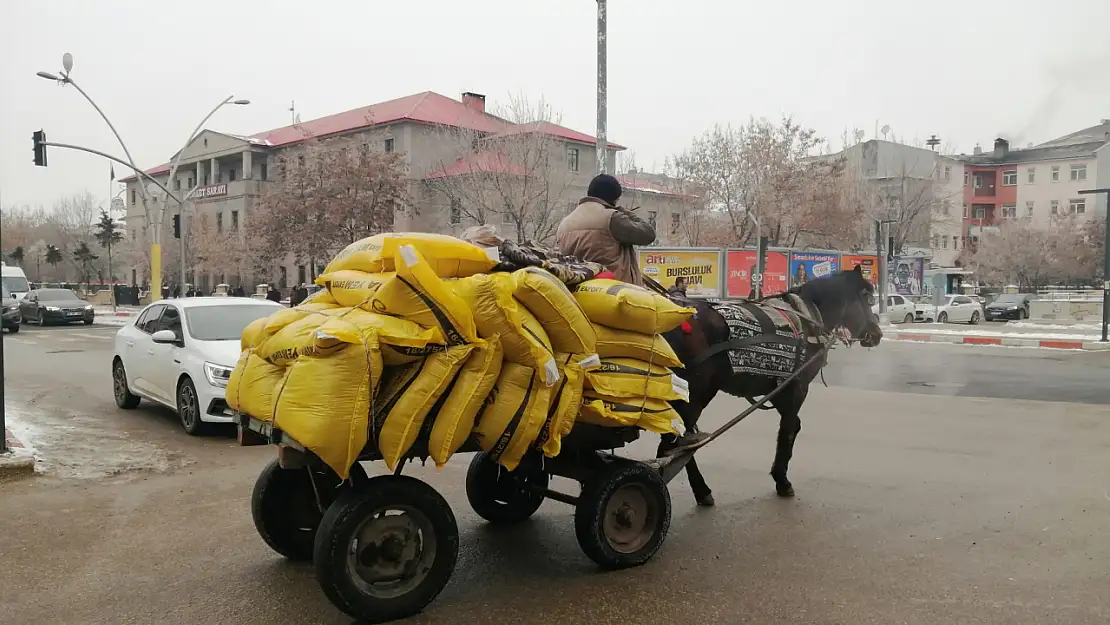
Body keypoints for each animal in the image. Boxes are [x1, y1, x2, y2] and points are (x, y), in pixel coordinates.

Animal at [652, 266, 879, 506]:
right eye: (867, 298)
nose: (877, 333)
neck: (809, 320)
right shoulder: (797, 388)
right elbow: (790, 428)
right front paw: (782, 480)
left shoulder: (781, 389)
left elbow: (791, 426)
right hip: (694, 396)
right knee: (672, 446)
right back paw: (697, 489)